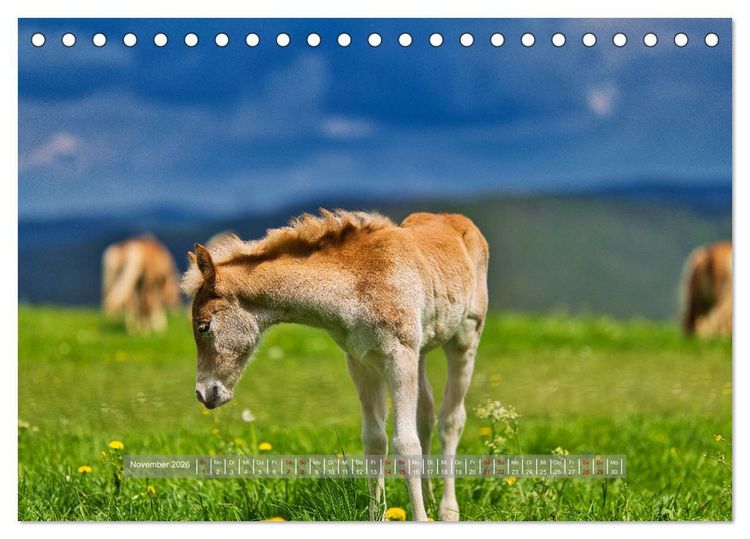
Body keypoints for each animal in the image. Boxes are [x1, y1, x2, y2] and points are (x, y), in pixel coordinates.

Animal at [181, 209, 489, 521]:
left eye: (204, 326)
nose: (204, 393)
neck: (358, 284)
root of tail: (455, 218)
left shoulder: (399, 356)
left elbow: (406, 444)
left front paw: (421, 519)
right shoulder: (361, 362)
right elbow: (374, 441)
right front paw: (377, 516)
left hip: (465, 337)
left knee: (451, 418)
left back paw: (448, 510)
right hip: (422, 349)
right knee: (426, 412)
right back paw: (429, 494)